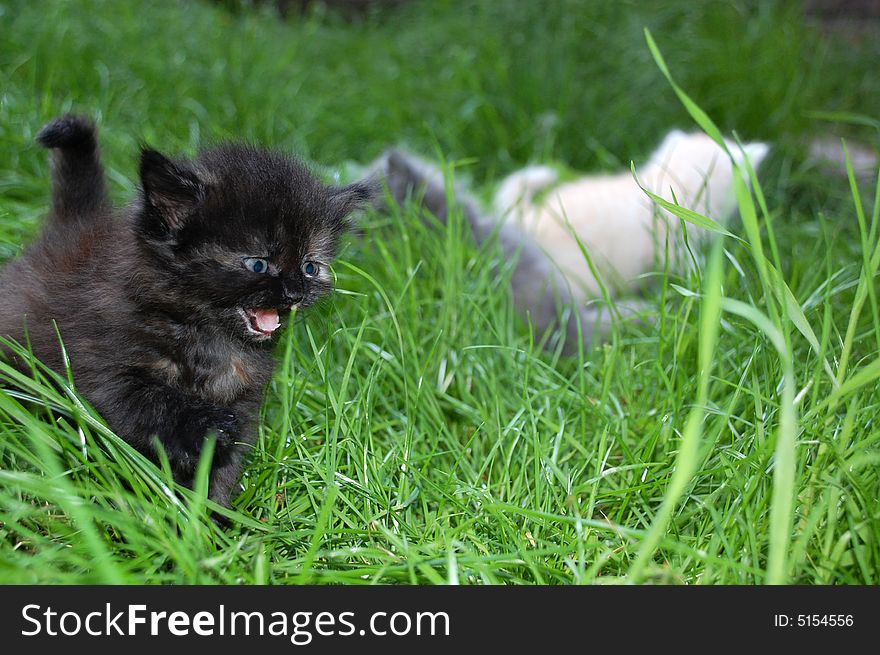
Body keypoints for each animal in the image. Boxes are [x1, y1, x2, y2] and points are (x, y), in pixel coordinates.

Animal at [0, 115, 372, 510]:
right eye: (257, 264)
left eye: (309, 267)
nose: (294, 292)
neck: (208, 337)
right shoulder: (103, 374)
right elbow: (154, 405)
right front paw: (205, 426)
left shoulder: (246, 398)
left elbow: (223, 469)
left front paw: (213, 519)